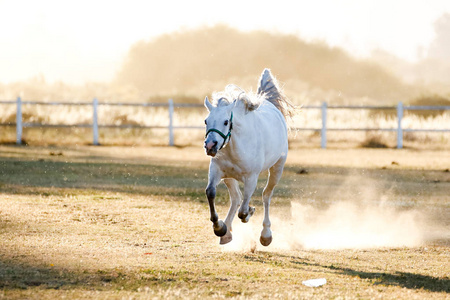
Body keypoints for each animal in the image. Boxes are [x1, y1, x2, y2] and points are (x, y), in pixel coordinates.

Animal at [204, 69, 296, 246]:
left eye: (226, 122)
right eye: (206, 121)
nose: (210, 146)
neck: (236, 146)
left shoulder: (251, 177)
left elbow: (243, 210)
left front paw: (250, 212)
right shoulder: (216, 170)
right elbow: (211, 192)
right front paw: (219, 228)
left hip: (277, 169)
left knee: (266, 196)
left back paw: (265, 235)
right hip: (228, 177)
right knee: (236, 198)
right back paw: (226, 233)